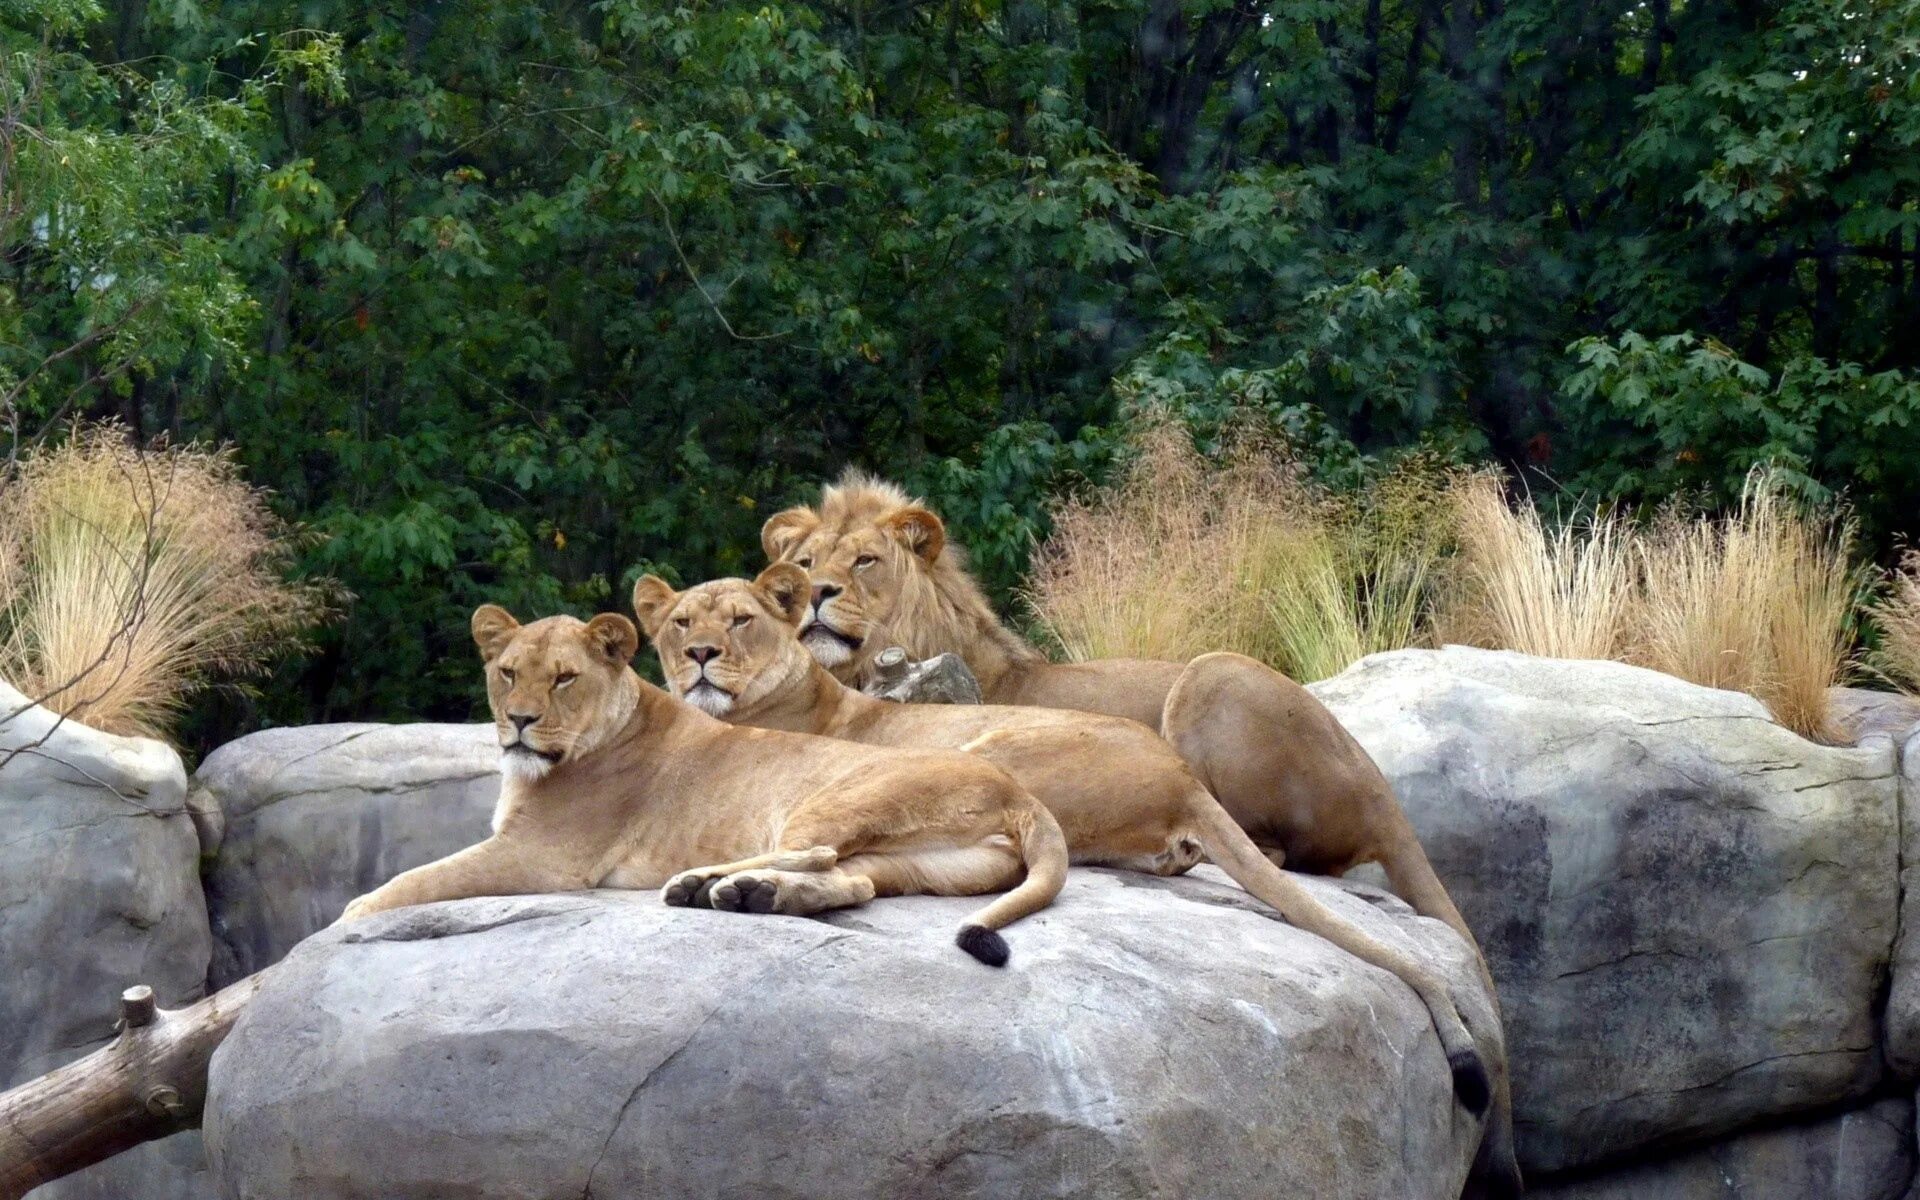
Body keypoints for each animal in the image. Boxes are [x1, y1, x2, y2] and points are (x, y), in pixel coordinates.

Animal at [337, 602, 1075, 960]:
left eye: (565, 678)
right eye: (508, 672)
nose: (518, 722)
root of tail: (1023, 795)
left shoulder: (543, 854)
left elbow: (418, 880)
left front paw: (351, 917)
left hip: (834, 796)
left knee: (815, 850)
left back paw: (703, 884)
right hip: (925, 864)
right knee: (853, 879)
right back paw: (750, 895)